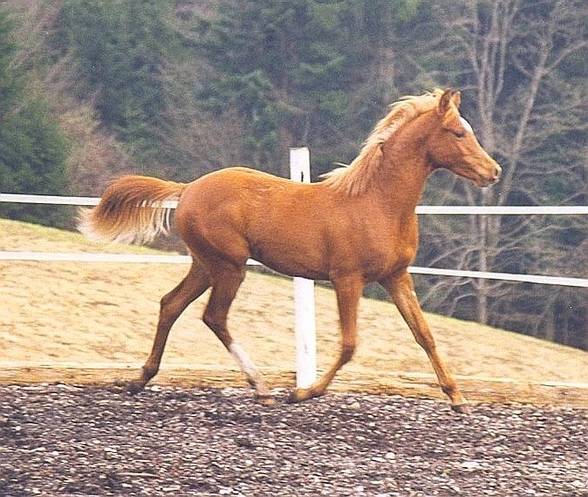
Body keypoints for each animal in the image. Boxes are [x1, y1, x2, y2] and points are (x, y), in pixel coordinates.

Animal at [78, 88, 500, 410]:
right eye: (457, 132)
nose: (493, 171)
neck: (376, 203)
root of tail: (188, 189)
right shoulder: (347, 279)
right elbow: (349, 344)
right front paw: (304, 392)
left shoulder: (396, 278)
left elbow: (424, 334)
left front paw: (458, 398)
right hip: (229, 265)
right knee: (213, 316)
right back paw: (262, 387)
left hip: (205, 264)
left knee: (171, 304)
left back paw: (141, 379)